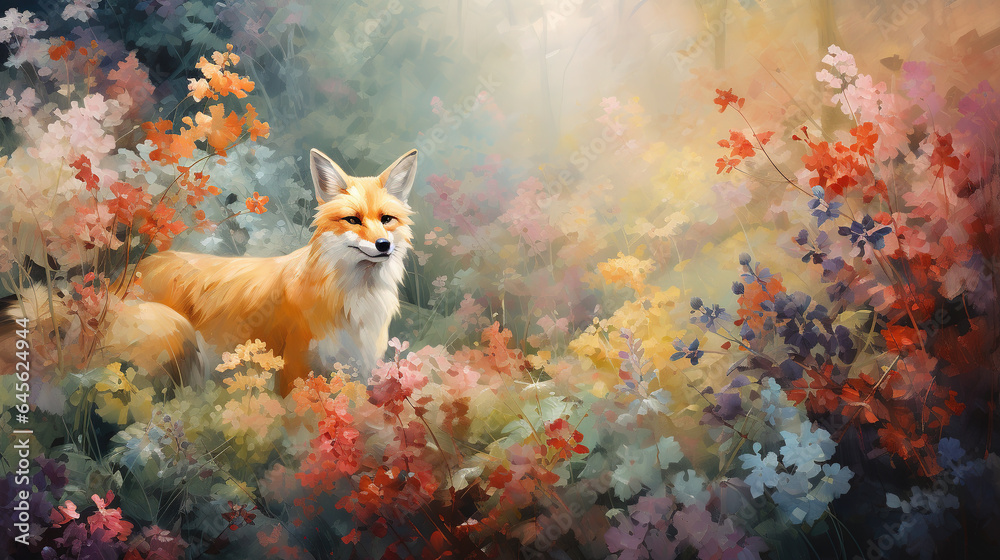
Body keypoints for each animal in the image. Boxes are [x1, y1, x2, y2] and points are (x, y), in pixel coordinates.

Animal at [127, 148, 417, 395]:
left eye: (386, 219)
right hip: (176, 340)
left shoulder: (357, 369)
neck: (353, 299)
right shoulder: (295, 370)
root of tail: (135, 269)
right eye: (353, 220)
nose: (383, 245)